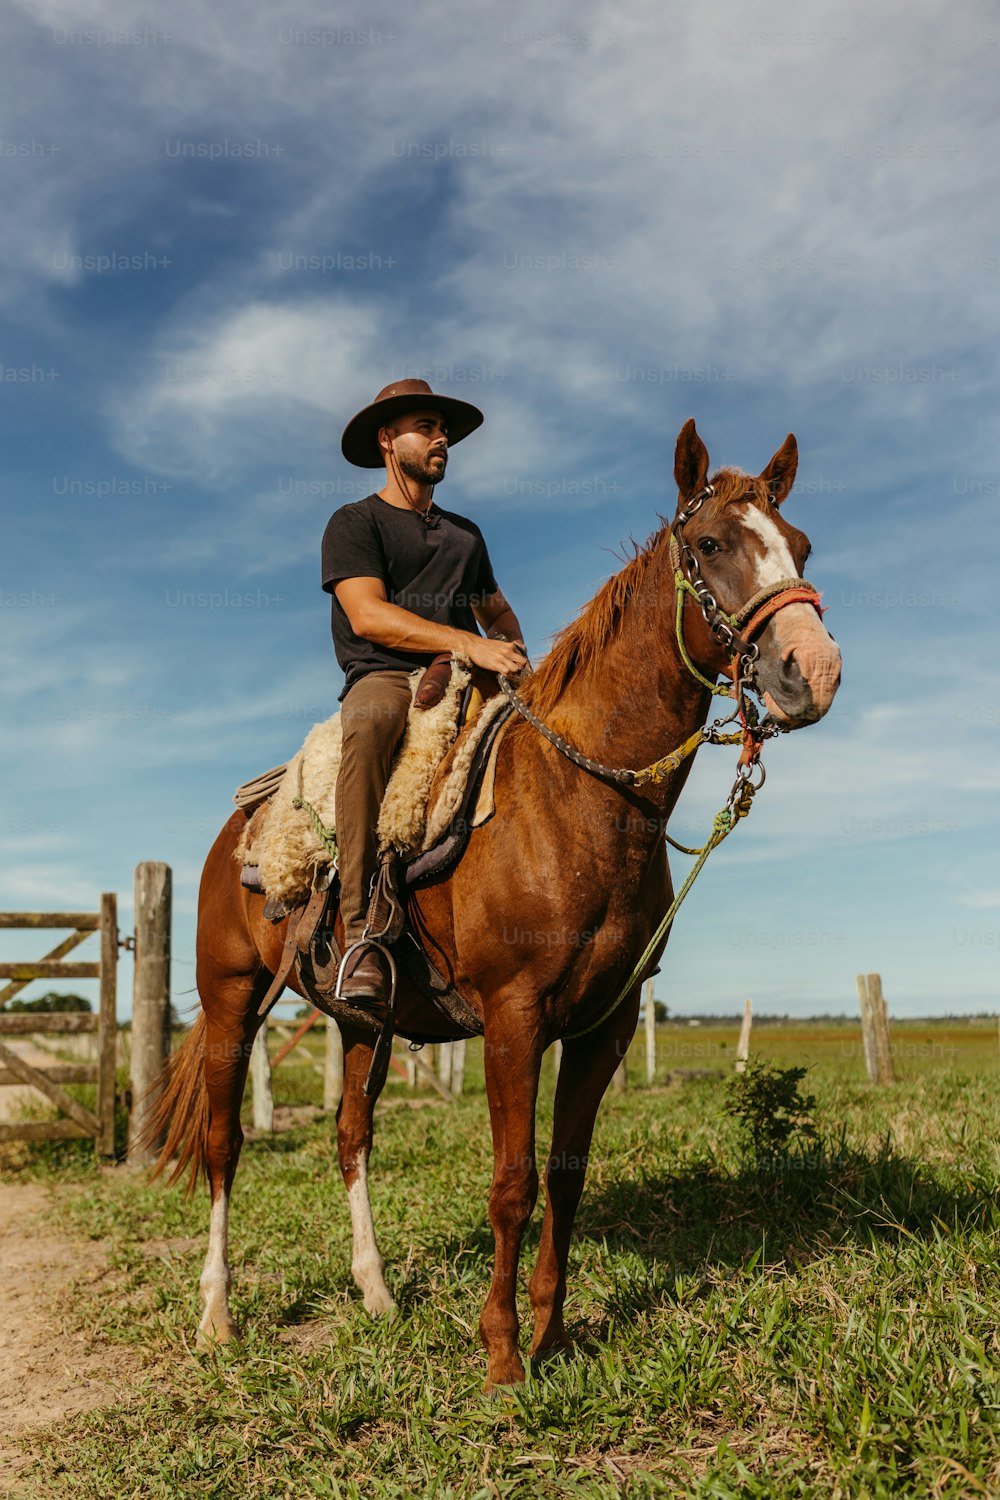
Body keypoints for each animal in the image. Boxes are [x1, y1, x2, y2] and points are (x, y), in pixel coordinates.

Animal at [148, 417, 845, 1386]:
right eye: (709, 545)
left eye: (803, 545)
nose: (814, 669)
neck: (578, 797)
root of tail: (239, 826)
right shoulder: (515, 1019)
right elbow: (511, 1182)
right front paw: (505, 1356)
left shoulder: (604, 1025)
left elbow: (565, 1173)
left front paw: (553, 1331)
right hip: (229, 1002)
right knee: (223, 1146)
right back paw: (217, 1315)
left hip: (361, 1021)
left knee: (351, 1136)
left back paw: (376, 1293)